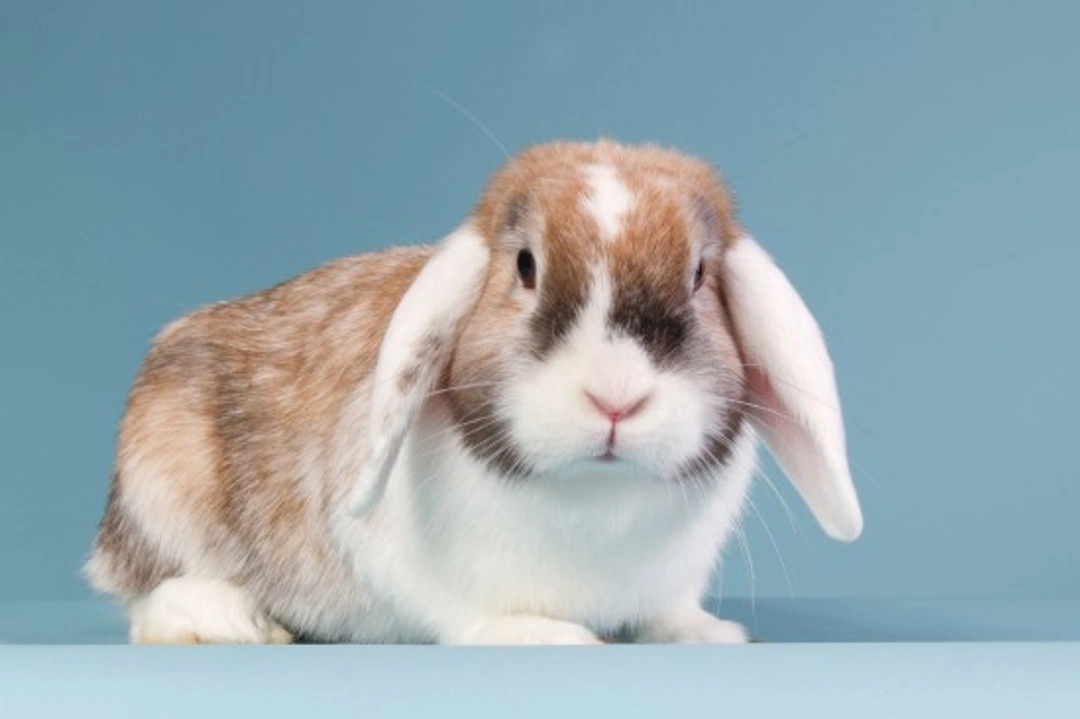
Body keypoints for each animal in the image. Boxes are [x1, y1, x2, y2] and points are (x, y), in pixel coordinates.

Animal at [84, 139, 863, 645]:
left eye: (700, 275)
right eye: (525, 266)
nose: (615, 398)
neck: (596, 494)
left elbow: (668, 613)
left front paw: (703, 633)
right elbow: (471, 613)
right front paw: (550, 638)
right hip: (160, 480)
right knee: (148, 596)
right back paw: (235, 624)